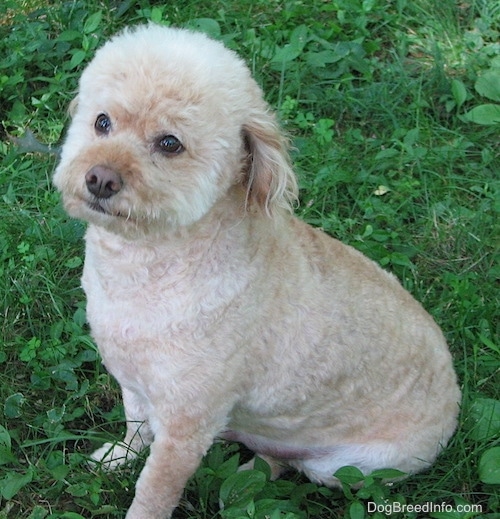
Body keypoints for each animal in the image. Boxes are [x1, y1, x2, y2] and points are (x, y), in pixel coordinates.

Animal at [53, 24, 460, 519]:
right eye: (102, 122)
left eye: (170, 143)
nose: (100, 178)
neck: (149, 262)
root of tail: (454, 401)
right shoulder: (134, 381)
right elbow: (135, 429)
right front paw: (117, 457)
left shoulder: (186, 427)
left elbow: (153, 491)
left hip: (350, 466)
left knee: (291, 464)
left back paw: (245, 481)